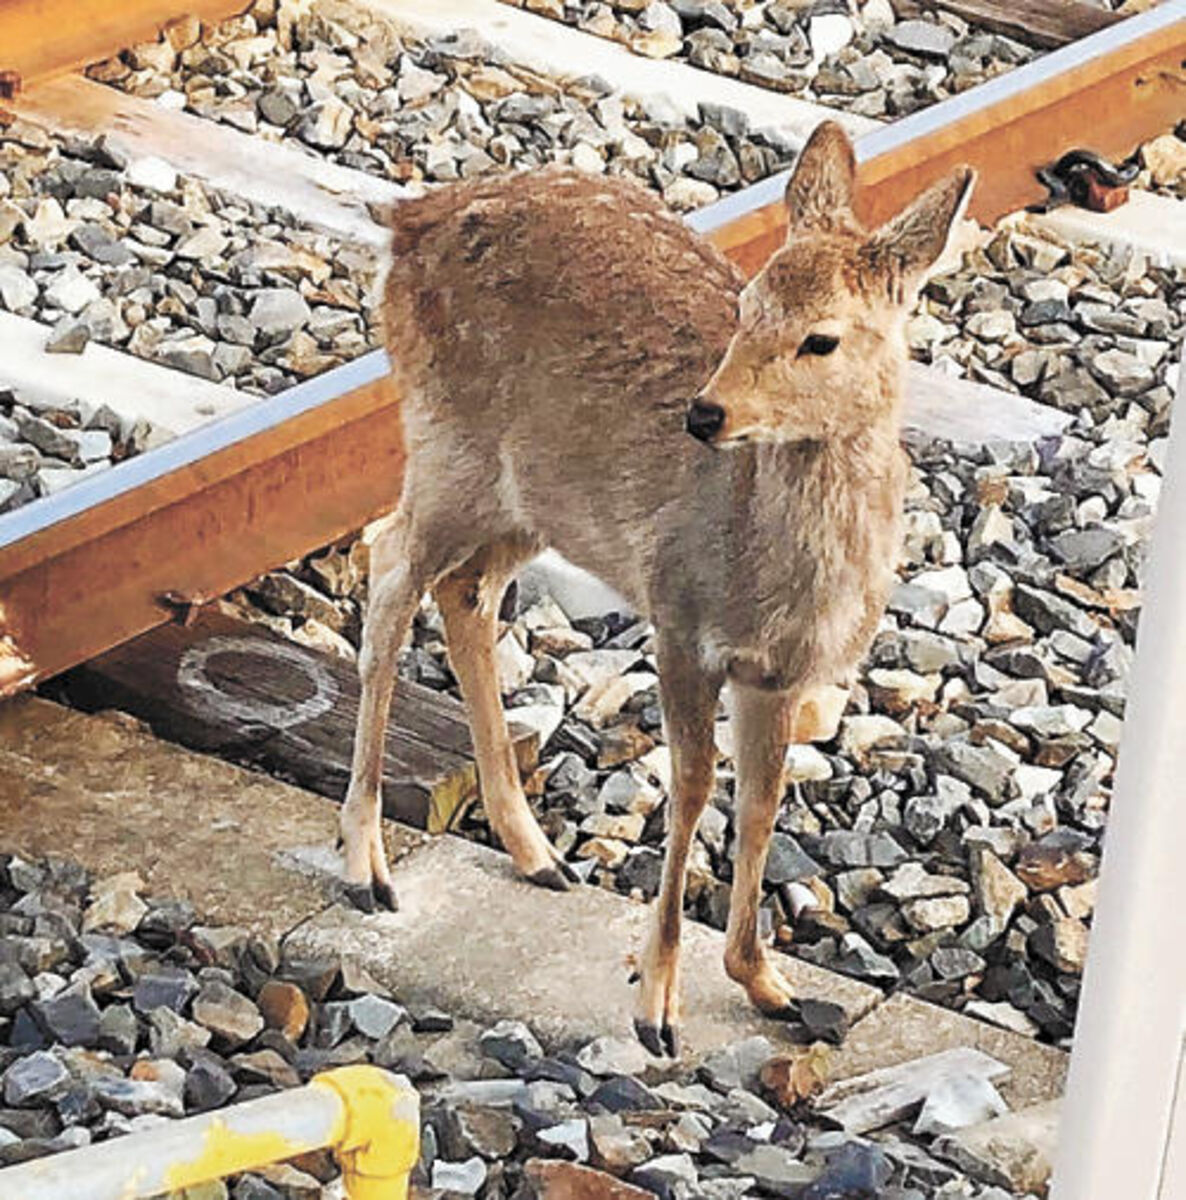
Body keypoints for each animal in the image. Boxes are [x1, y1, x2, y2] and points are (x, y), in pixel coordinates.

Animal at [340, 119, 974, 1060]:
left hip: (533, 500)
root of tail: (408, 219)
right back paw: (367, 868)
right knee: (388, 567)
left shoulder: (781, 673)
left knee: (465, 592)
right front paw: (656, 1007)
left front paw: (770, 985)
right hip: (448, 443)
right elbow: (693, 787)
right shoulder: (679, 620)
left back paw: (537, 853)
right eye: (745, 307)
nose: (706, 414)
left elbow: (760, 802)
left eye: (821, 339)